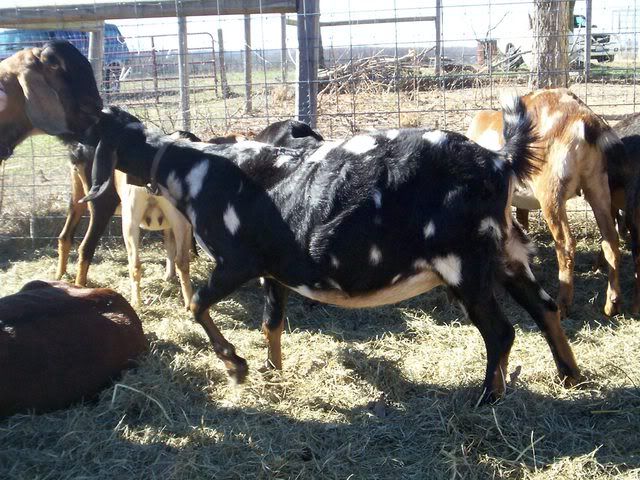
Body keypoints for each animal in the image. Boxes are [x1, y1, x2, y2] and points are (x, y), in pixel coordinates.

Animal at [79, 98, 580, 404]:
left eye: (92, 131)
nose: (76, 157)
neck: (193, 167)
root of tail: (500, 159)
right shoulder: (272, 269)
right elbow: (271, 321)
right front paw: (272, 372)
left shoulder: (237, 260)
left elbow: (196, 304)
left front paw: (236, 367)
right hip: (507, 252)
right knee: (545, 307)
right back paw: (569, 376)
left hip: (465, 263)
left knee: (501, 331)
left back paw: (486, 396)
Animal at [467, 88, 625, 317]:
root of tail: (585, 120)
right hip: (597, 184)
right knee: (610, 239)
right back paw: (612, 304)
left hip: (551, 191)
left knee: (566, 243)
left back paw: (563, 303)